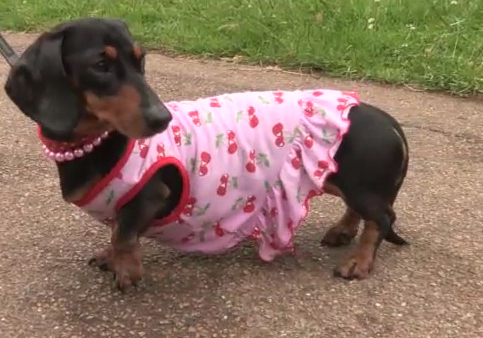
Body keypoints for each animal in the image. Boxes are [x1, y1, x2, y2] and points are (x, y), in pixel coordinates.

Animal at [4, 17, 408, 290]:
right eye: (101, 65)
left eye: (140, 61)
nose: (161, 118)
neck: (95, 143)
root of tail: (387, 120)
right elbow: (118, 229)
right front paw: (110, 257)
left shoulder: (152, 194)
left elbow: (124, 232)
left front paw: (126, 268)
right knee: (364, 212)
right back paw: (342, 232)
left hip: (358, 184)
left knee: (382, 217)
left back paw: (358, 261)